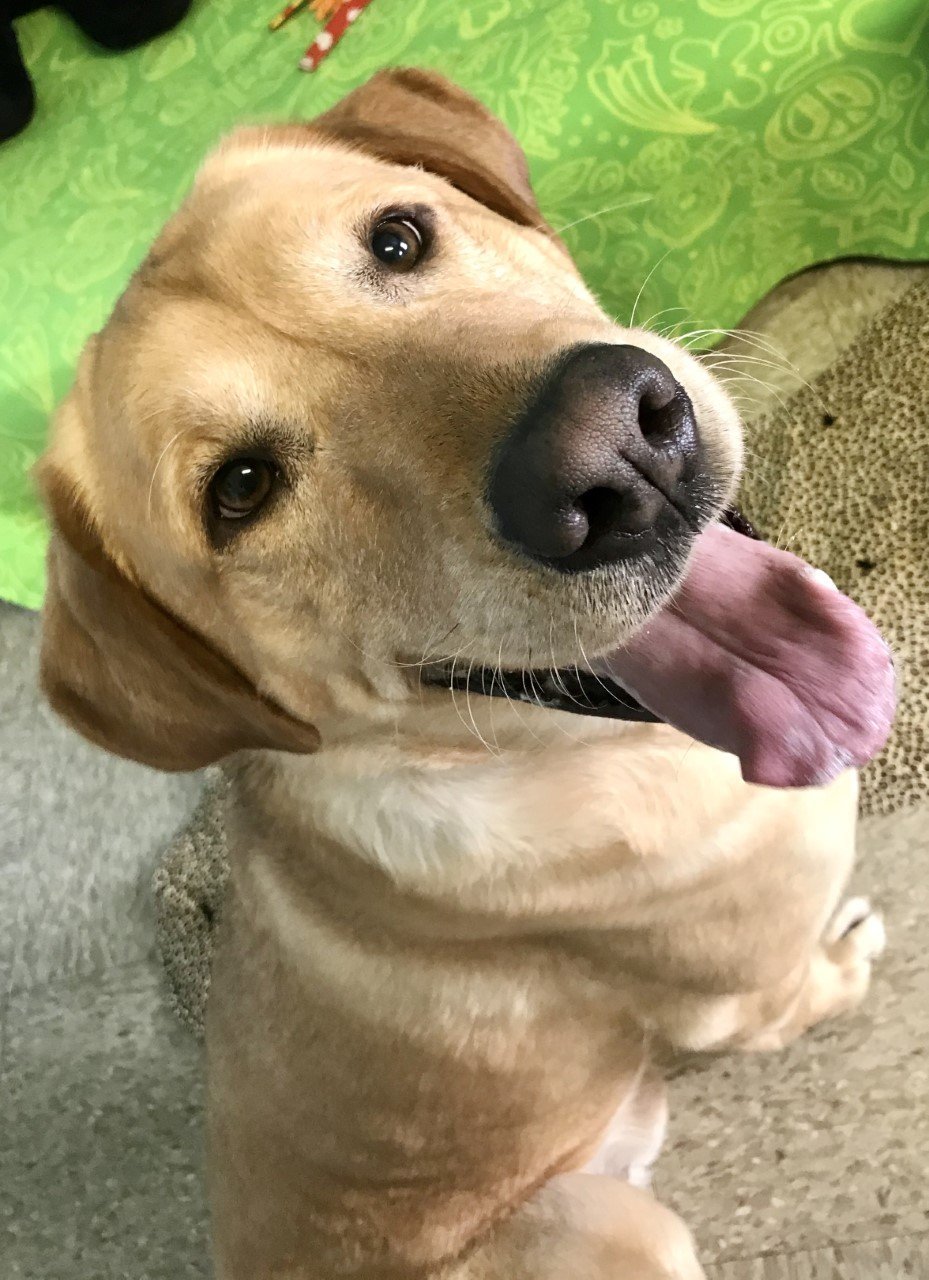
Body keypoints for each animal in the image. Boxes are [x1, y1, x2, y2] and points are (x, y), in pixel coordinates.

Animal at [36, 70, 895, 1280]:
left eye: (398, 237)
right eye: (239, 490)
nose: (613, 452)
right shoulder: (742, 999)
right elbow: (809, 987)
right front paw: (851, 955)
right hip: (616, 1226)